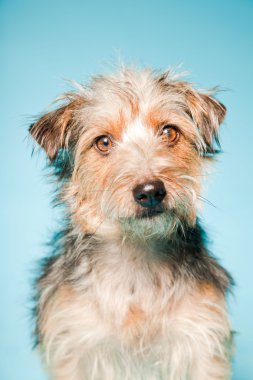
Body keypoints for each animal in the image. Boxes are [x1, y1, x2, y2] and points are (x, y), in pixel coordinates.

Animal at [29, 67, 233, 378]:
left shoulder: (202, 340)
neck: (138, 254)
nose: (151, 192)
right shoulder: (72, 344)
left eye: (169, 132)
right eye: (103, 142)